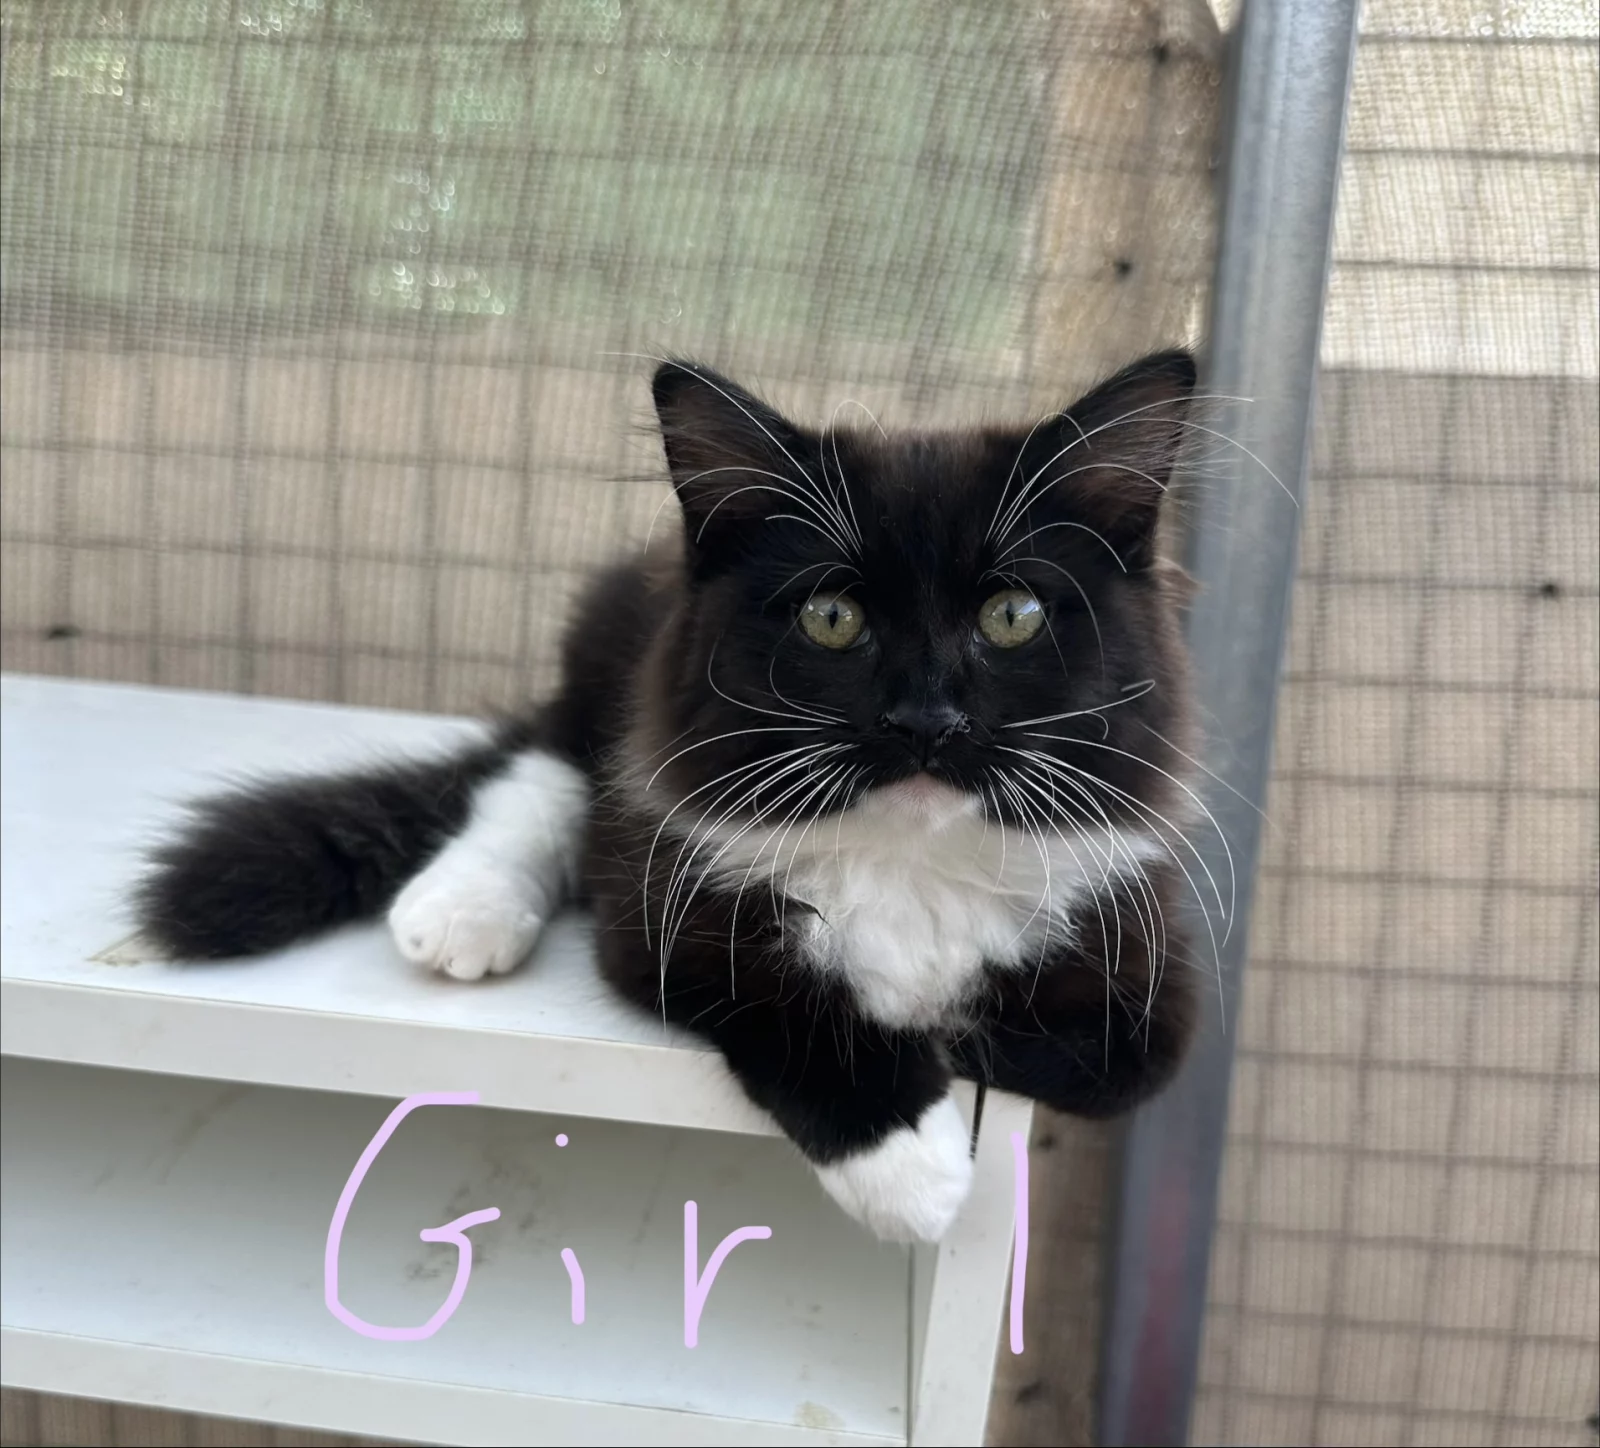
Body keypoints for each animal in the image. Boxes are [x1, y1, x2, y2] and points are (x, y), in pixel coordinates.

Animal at [135, 351, 1204, 1243]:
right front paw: (911, 1169)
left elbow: (1065, 1045)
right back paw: (466, 909)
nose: (925, 720)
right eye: (832, 617)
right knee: (543, 773)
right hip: (604, 677)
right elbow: (784, 994)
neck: (910, 855)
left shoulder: (1147, 976)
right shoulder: (657, 907)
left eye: (1012, 615)